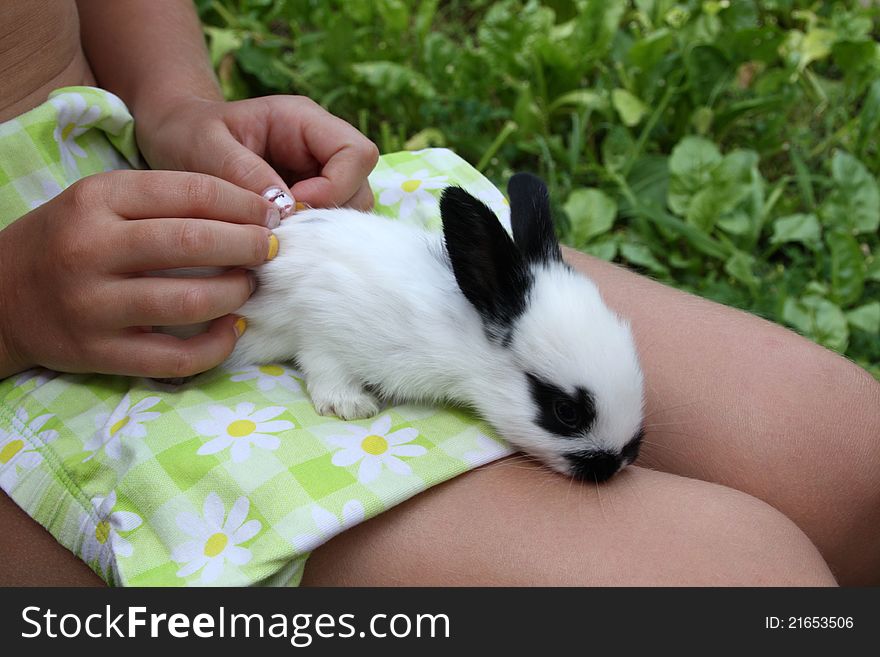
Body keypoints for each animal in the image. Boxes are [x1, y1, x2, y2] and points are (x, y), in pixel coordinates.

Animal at [223, 174, 644, 482]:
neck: (462, 331)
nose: (618, 463)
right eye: (565, 412)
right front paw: (351, 406)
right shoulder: (321, 317)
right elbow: (323, 363)